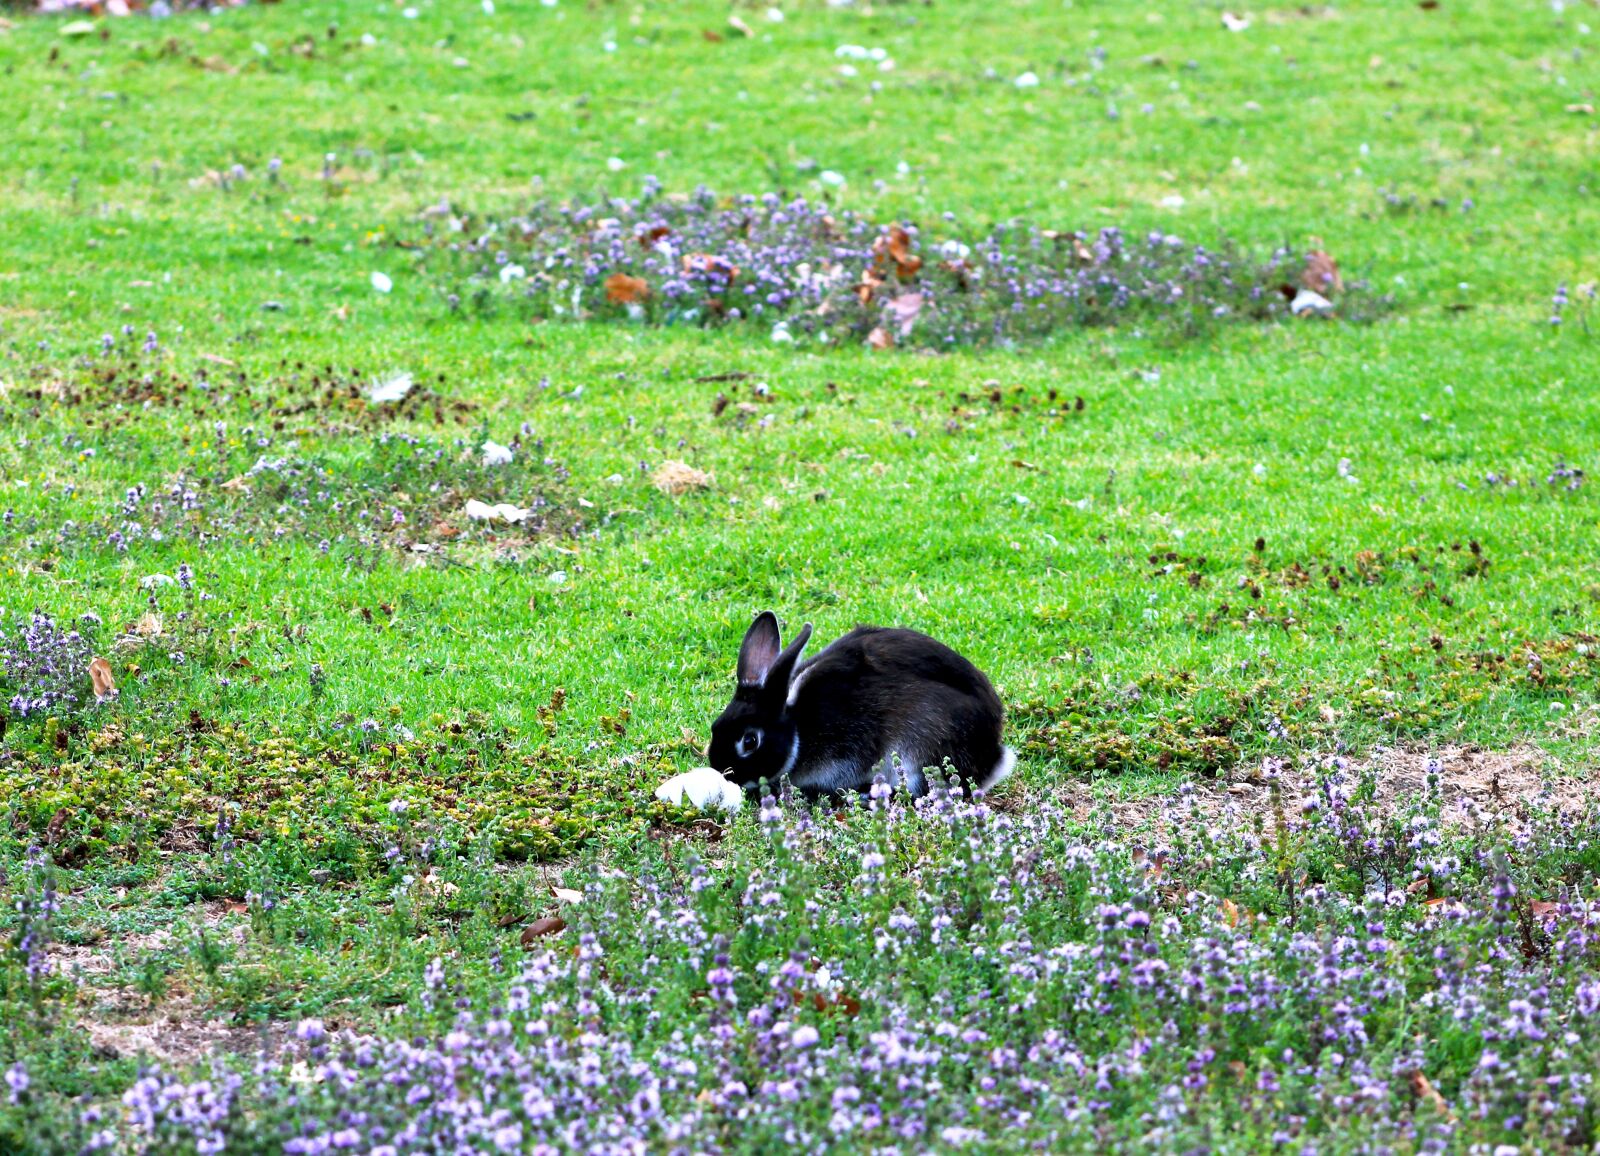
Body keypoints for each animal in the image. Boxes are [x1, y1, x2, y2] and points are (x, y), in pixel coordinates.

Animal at [707, 610, 1015, 800]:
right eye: (715, 727)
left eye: (750, 741)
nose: (725, 773)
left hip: (917, 751)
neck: (798, 729)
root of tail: (991, 759)